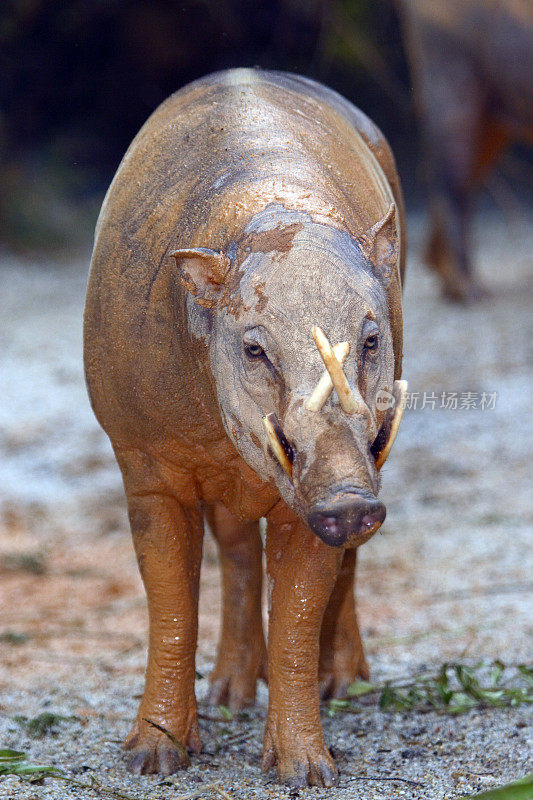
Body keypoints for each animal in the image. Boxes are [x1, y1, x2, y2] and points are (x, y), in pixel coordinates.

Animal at [85, 67, 406, 788]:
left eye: (371, 339)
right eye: (255, 348)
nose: (350, 499)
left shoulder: (314, 491)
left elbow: (297, 610)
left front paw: (307, 773)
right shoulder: (142, 460)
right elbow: (170, 600)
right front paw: (151, 761)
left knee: (333, 564)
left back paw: (342, 686)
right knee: (233, 551)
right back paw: (230, 694)